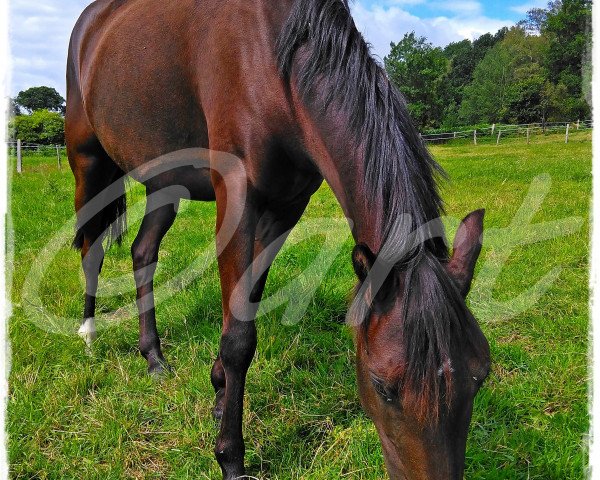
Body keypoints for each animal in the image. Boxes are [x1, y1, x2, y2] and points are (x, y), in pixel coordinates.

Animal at [65, 0, 490, 478]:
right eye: (383, 386)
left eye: (480, 376)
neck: (271, 56)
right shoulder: (236, 196)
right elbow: (239, 338)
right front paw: (230, 456)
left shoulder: (287, 207)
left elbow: (245, 303)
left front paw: (219, 393)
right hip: (87, 162)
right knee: (92, 249)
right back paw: (88, 333)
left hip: (164, 181)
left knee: (143, 253)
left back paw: (153, 357)